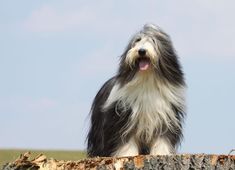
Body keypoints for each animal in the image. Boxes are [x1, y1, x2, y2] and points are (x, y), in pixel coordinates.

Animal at [86, 23, 185, 157]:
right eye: (137, 41)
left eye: (153, 41)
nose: (141, 51)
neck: (146, 81)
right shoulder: (124, 117)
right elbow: (126, 139)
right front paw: (128, 154)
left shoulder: (165, 116)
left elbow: (163, 138)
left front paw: (161, 153)